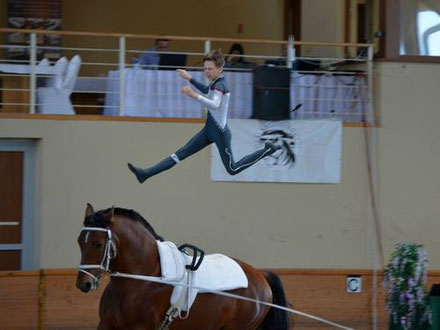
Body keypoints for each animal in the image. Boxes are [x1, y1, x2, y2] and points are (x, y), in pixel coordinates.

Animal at [75, 204, 292, 330]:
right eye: (79, 241)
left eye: (98, 244)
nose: (83, 284)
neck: (141, 280)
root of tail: (261, 275)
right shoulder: (106, 324)